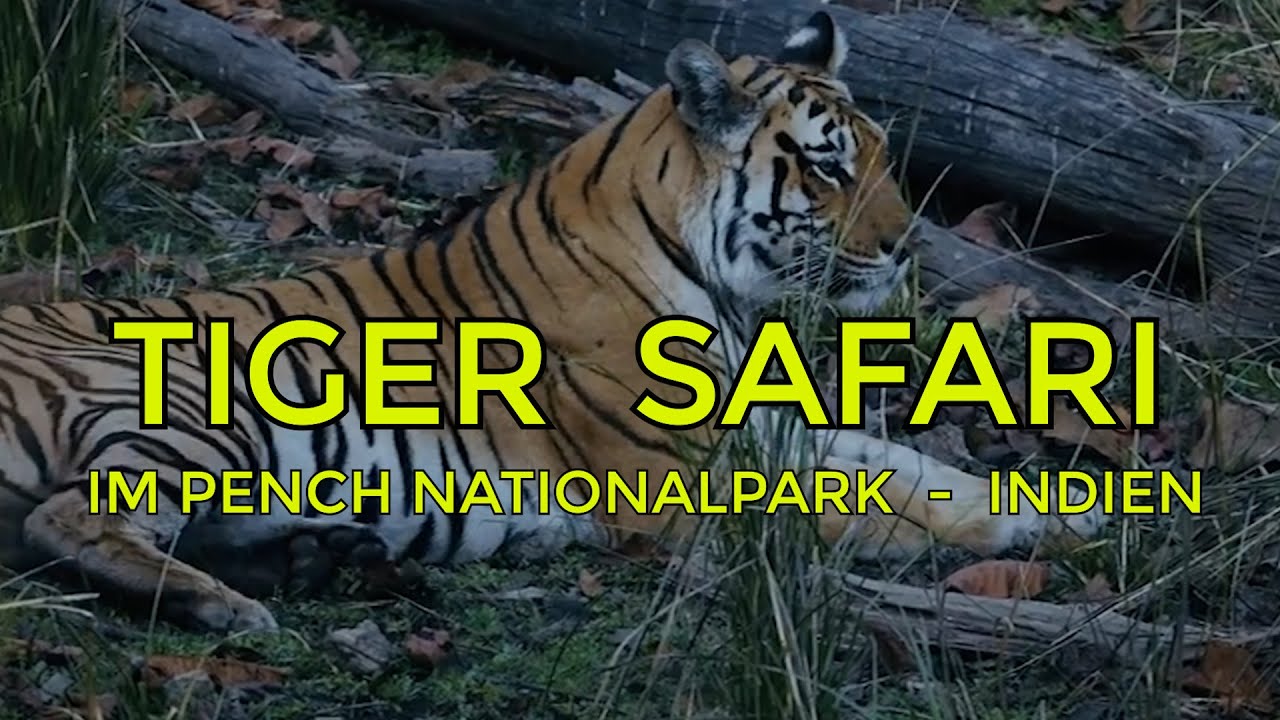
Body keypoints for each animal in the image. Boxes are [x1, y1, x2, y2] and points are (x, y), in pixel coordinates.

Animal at [0, 12, 1106, 632]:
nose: (907, 248)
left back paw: (318, 559)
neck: (719, 281)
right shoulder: (679, 479)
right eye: (829, 166)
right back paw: (229, 604)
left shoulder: (761, 425)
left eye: (880, 157)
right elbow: (874, 508)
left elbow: (912, 468)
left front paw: (1070, 509)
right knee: (68, 519)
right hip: (195, 401)